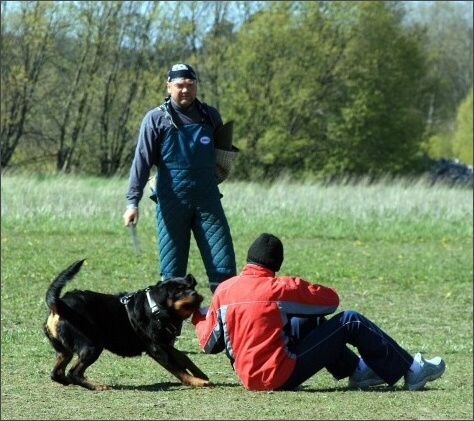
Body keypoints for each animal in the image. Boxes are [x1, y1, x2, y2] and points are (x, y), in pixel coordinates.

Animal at [42, 260, 209, 390]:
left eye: (191, 287)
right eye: (178, 291)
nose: (195, 294)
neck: (157, 307)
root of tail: (59, 305)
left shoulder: (166, 344)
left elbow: (185, 358)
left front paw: (201, 374)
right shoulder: (157, 348)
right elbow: (178, 369)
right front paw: (197, 381)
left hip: (64, 350)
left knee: (56, 373)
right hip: (92, 346)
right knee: (73, 372)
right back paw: (96, 385)